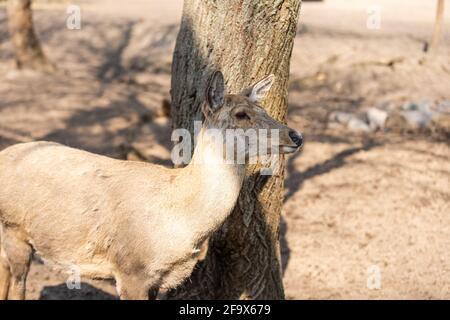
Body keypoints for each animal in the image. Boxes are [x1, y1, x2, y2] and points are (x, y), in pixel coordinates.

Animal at [0, 71, 304, 298]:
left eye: (262, 108)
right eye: (241, 114)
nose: (296, 135)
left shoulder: (158, 279)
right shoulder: (130, 270)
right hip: (14, 228)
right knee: (17, 286)